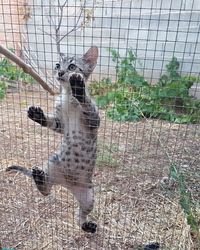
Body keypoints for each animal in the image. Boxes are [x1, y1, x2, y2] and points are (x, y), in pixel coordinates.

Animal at [6, 46, 100, 233]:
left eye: (72, 66)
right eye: (57, 65)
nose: (60, 72)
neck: (68, 98)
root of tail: (67, 185)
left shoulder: (94, 120)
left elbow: (86, 104)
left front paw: (79, 88)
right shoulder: (60, 124)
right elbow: (52, 122)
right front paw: (37, 115)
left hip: (89, 196)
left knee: (80, 216)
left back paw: (87, 225)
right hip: (51, 164)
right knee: (46, 191)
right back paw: (39, 177)